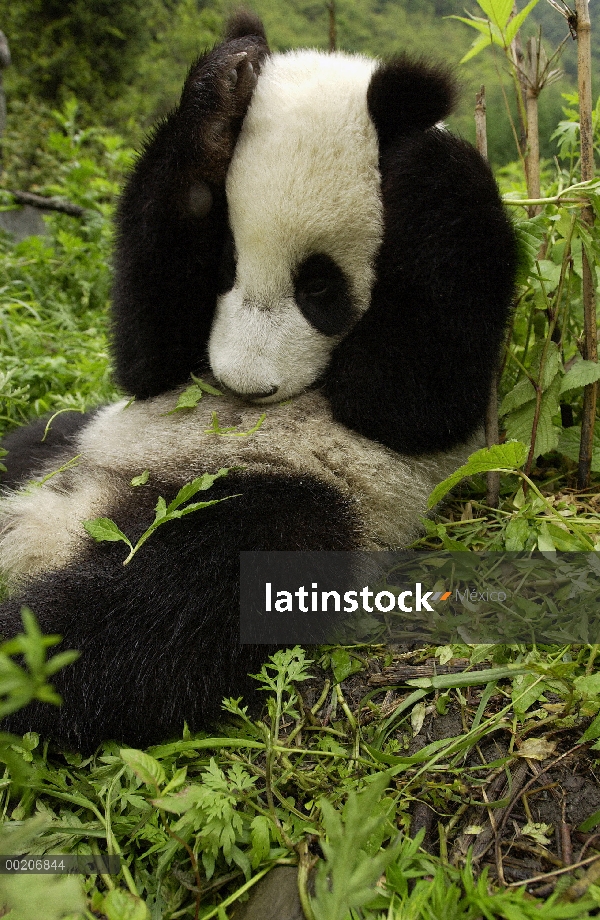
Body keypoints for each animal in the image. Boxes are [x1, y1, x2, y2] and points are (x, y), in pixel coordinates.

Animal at [0, 10, 516, 752]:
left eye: (318, 287)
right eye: (224, 265)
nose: (246, 387)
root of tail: (68, 517)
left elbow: (416, 403)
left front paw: (428, 165)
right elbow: (149, 350)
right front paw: (219, 92)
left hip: (293, 506)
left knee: (145, 616)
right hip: (65, 442)